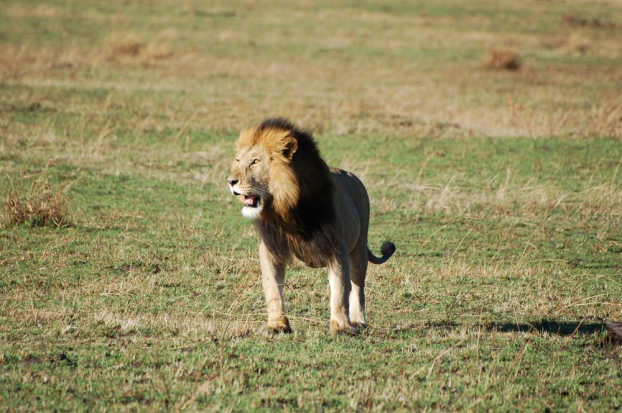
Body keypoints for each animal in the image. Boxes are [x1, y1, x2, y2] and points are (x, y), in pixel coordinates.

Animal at [227, 117, 398, 334]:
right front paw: (277, 325)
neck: (288, 208)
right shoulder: (270, 249)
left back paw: (358, 321)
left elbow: (340, 290)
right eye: (238, 161)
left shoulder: (337, 246)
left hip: (359, 246)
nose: (231, 181)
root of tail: (352, 176)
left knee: (358, 287)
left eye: (255, 161)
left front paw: (341, 327)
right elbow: (272, 288)